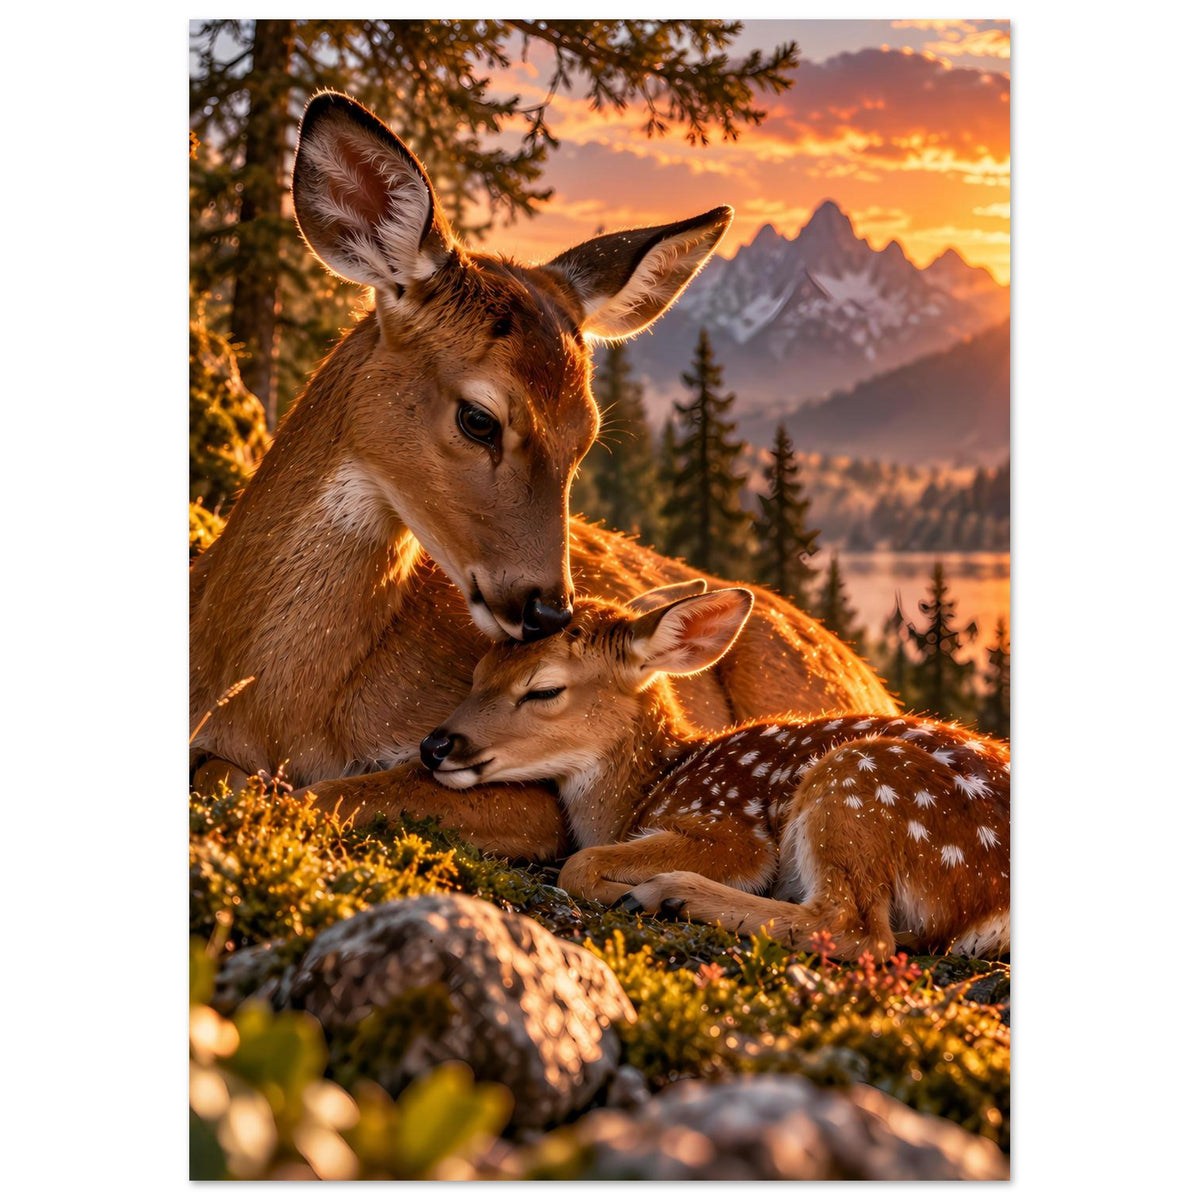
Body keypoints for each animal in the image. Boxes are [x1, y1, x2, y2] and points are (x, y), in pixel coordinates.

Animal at [190, 90, 898, 864]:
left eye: (586, 435)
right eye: (478, 418)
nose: (549, 610)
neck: (270, 704)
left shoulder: (528, 794)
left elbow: (322, 793)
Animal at [421, 583, 1010, 960]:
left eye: (544, 689)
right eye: (478, 672)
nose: (434, 746)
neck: (648, 787)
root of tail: (994, 901)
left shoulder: (729, 827)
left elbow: (580, 863)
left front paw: (622, 890)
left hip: (859, 782)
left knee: (857, 930)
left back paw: (667, 895)